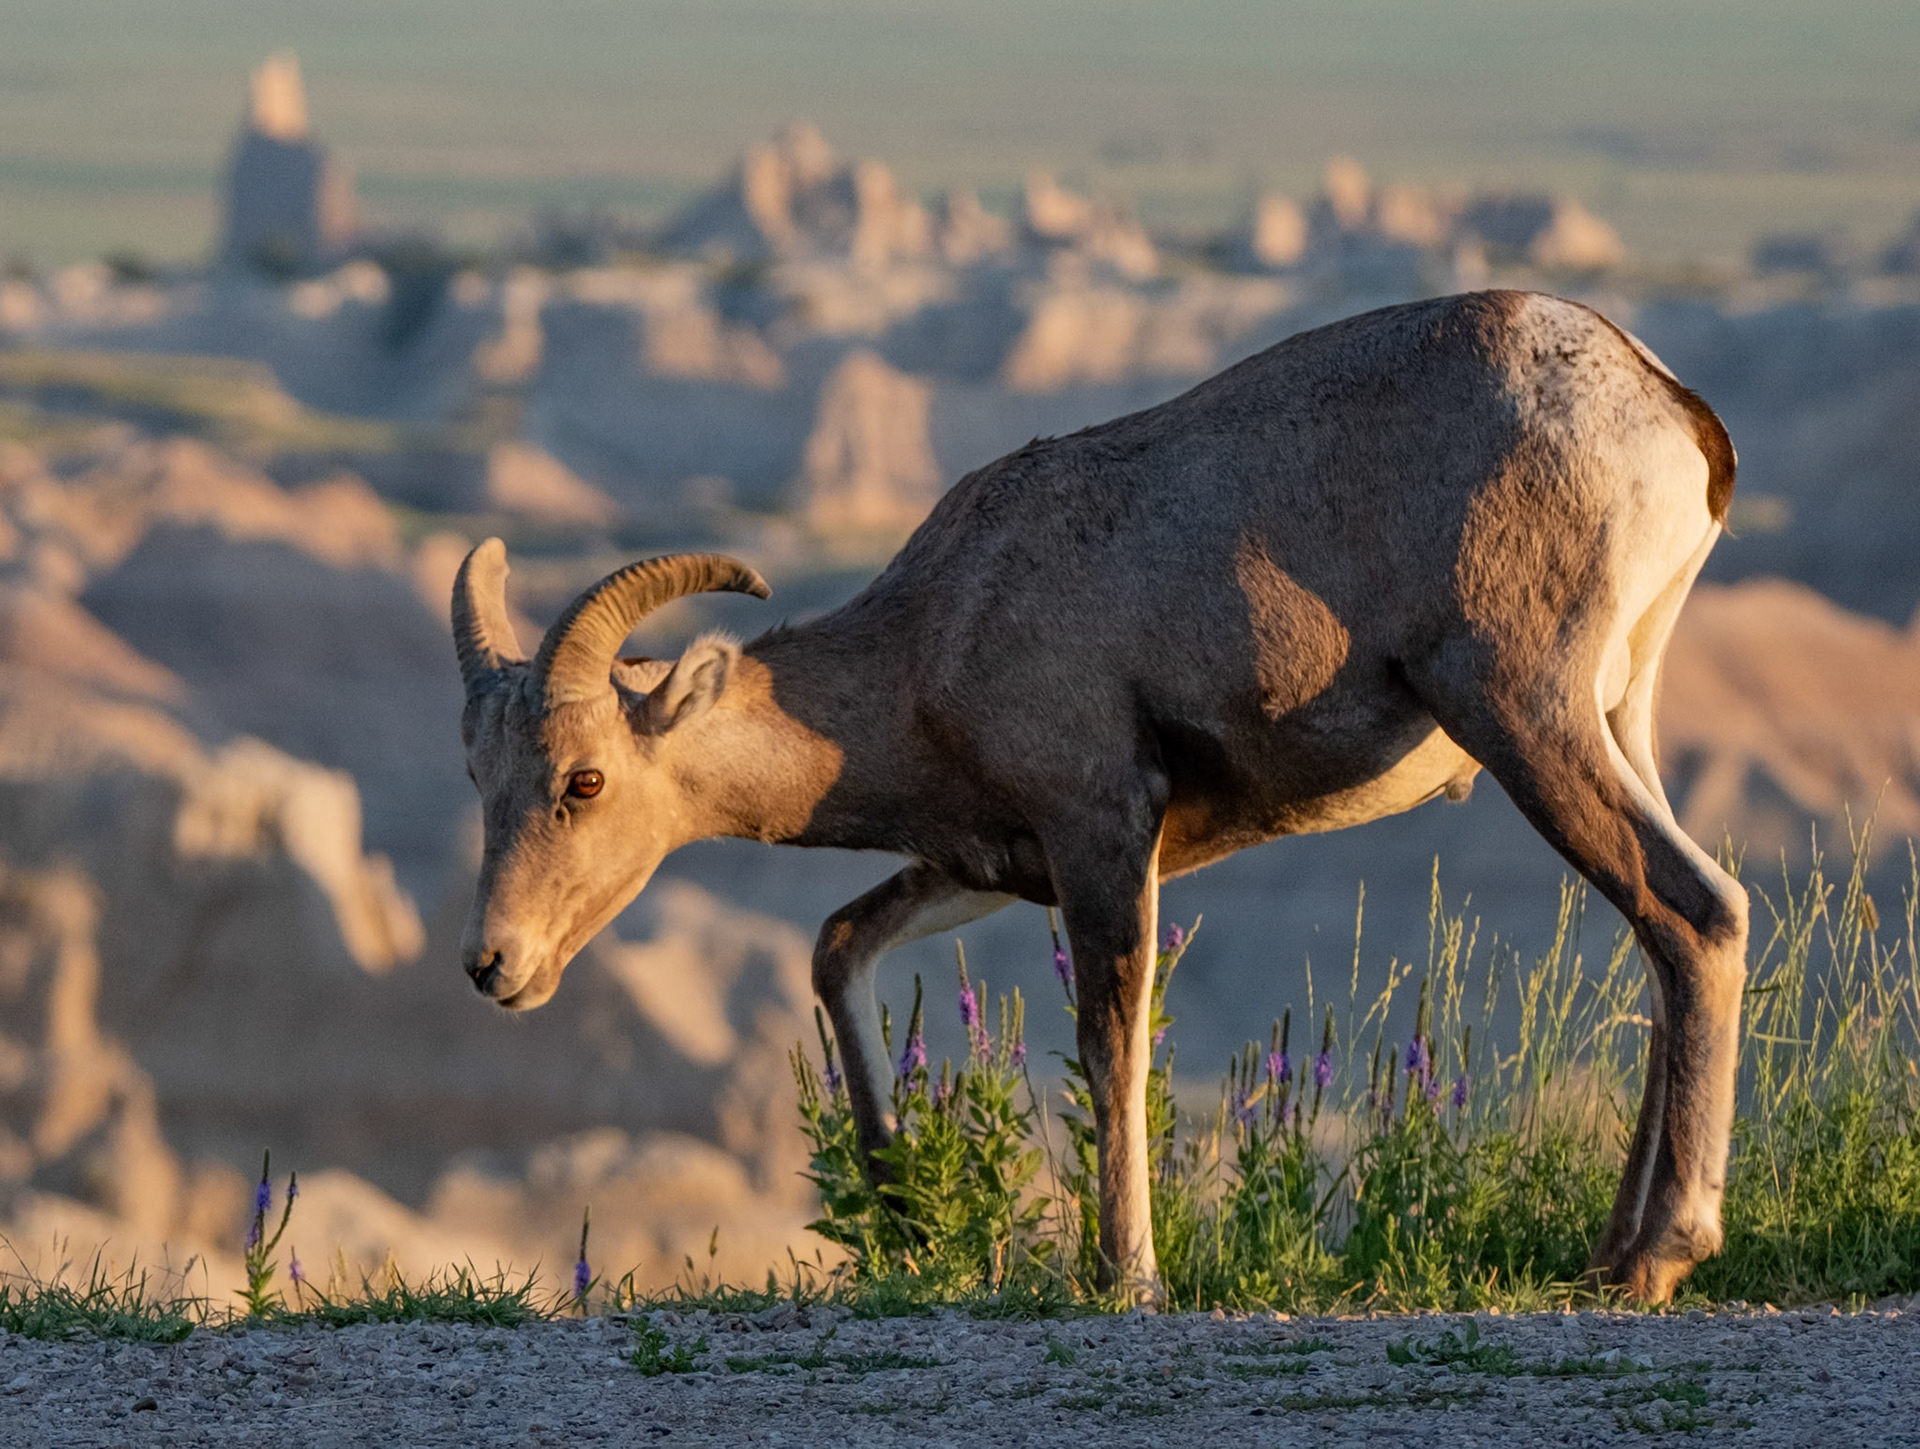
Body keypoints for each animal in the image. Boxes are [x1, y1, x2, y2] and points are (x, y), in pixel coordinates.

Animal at [452, 290, 1743, 1304]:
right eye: (478, 775)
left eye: (584, 779)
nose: (493, 966)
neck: (938, 633)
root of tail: (1665, 404)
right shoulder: (987, 864)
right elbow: (839, 946)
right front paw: (905, 1218)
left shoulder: (1102, 831)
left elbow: (1110, 1034)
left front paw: (1126, 1276)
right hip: (1617, 719)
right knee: (1665, 942)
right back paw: (1605, 1255)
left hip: (1523, 714)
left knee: (1699, 914)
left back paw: (1657, 1260)